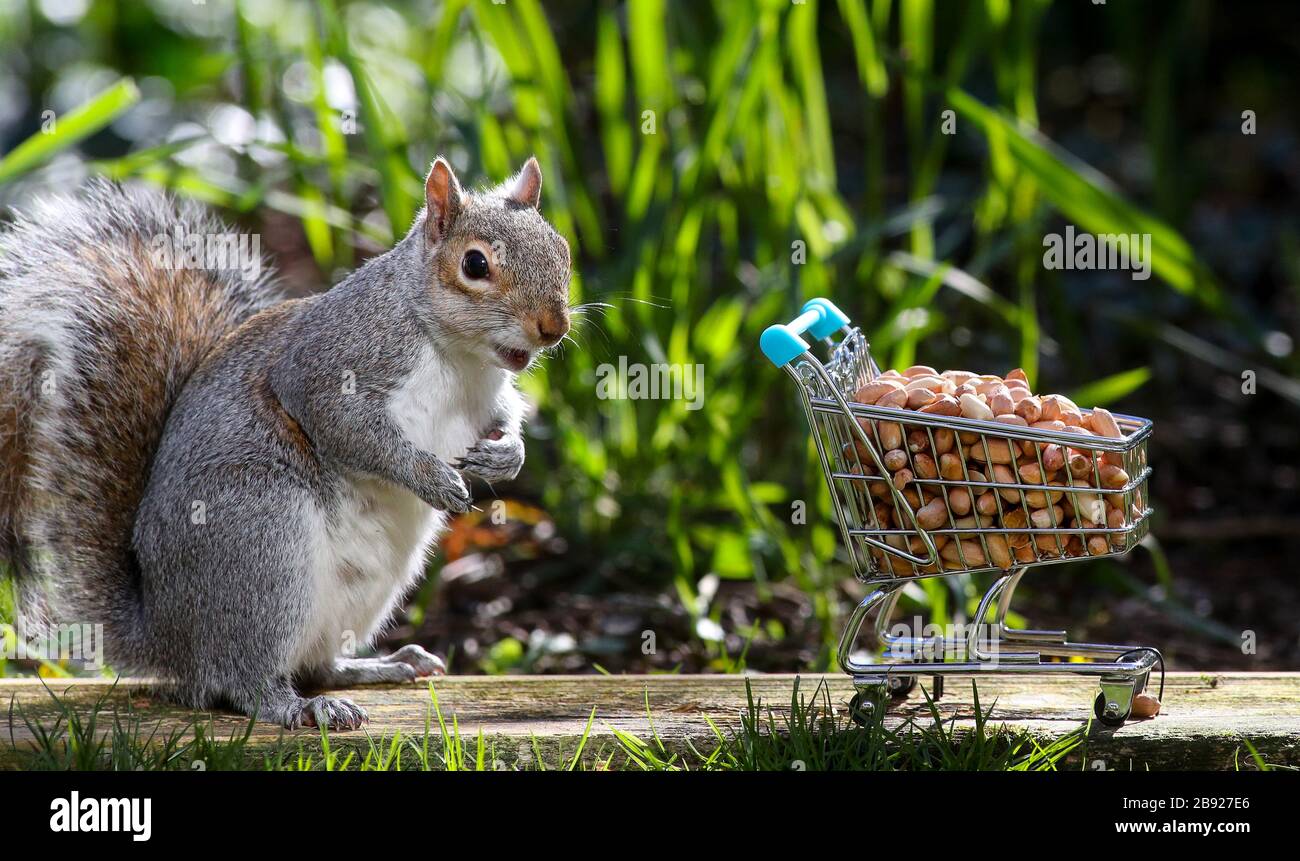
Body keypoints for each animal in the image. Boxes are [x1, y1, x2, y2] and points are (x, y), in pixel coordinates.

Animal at [0, 155, 569, 728]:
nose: (554, 327)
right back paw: (300, 706)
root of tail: (166, 638)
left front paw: (506, 455)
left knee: (316, 662)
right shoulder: (328, 369)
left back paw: (373, 668)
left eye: (561, 249)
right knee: (243, 679)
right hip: (263, 542)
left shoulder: (487, 397)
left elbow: (506, 417)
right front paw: (429, 477)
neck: (462, 356)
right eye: (475, 265)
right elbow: (350, 430)